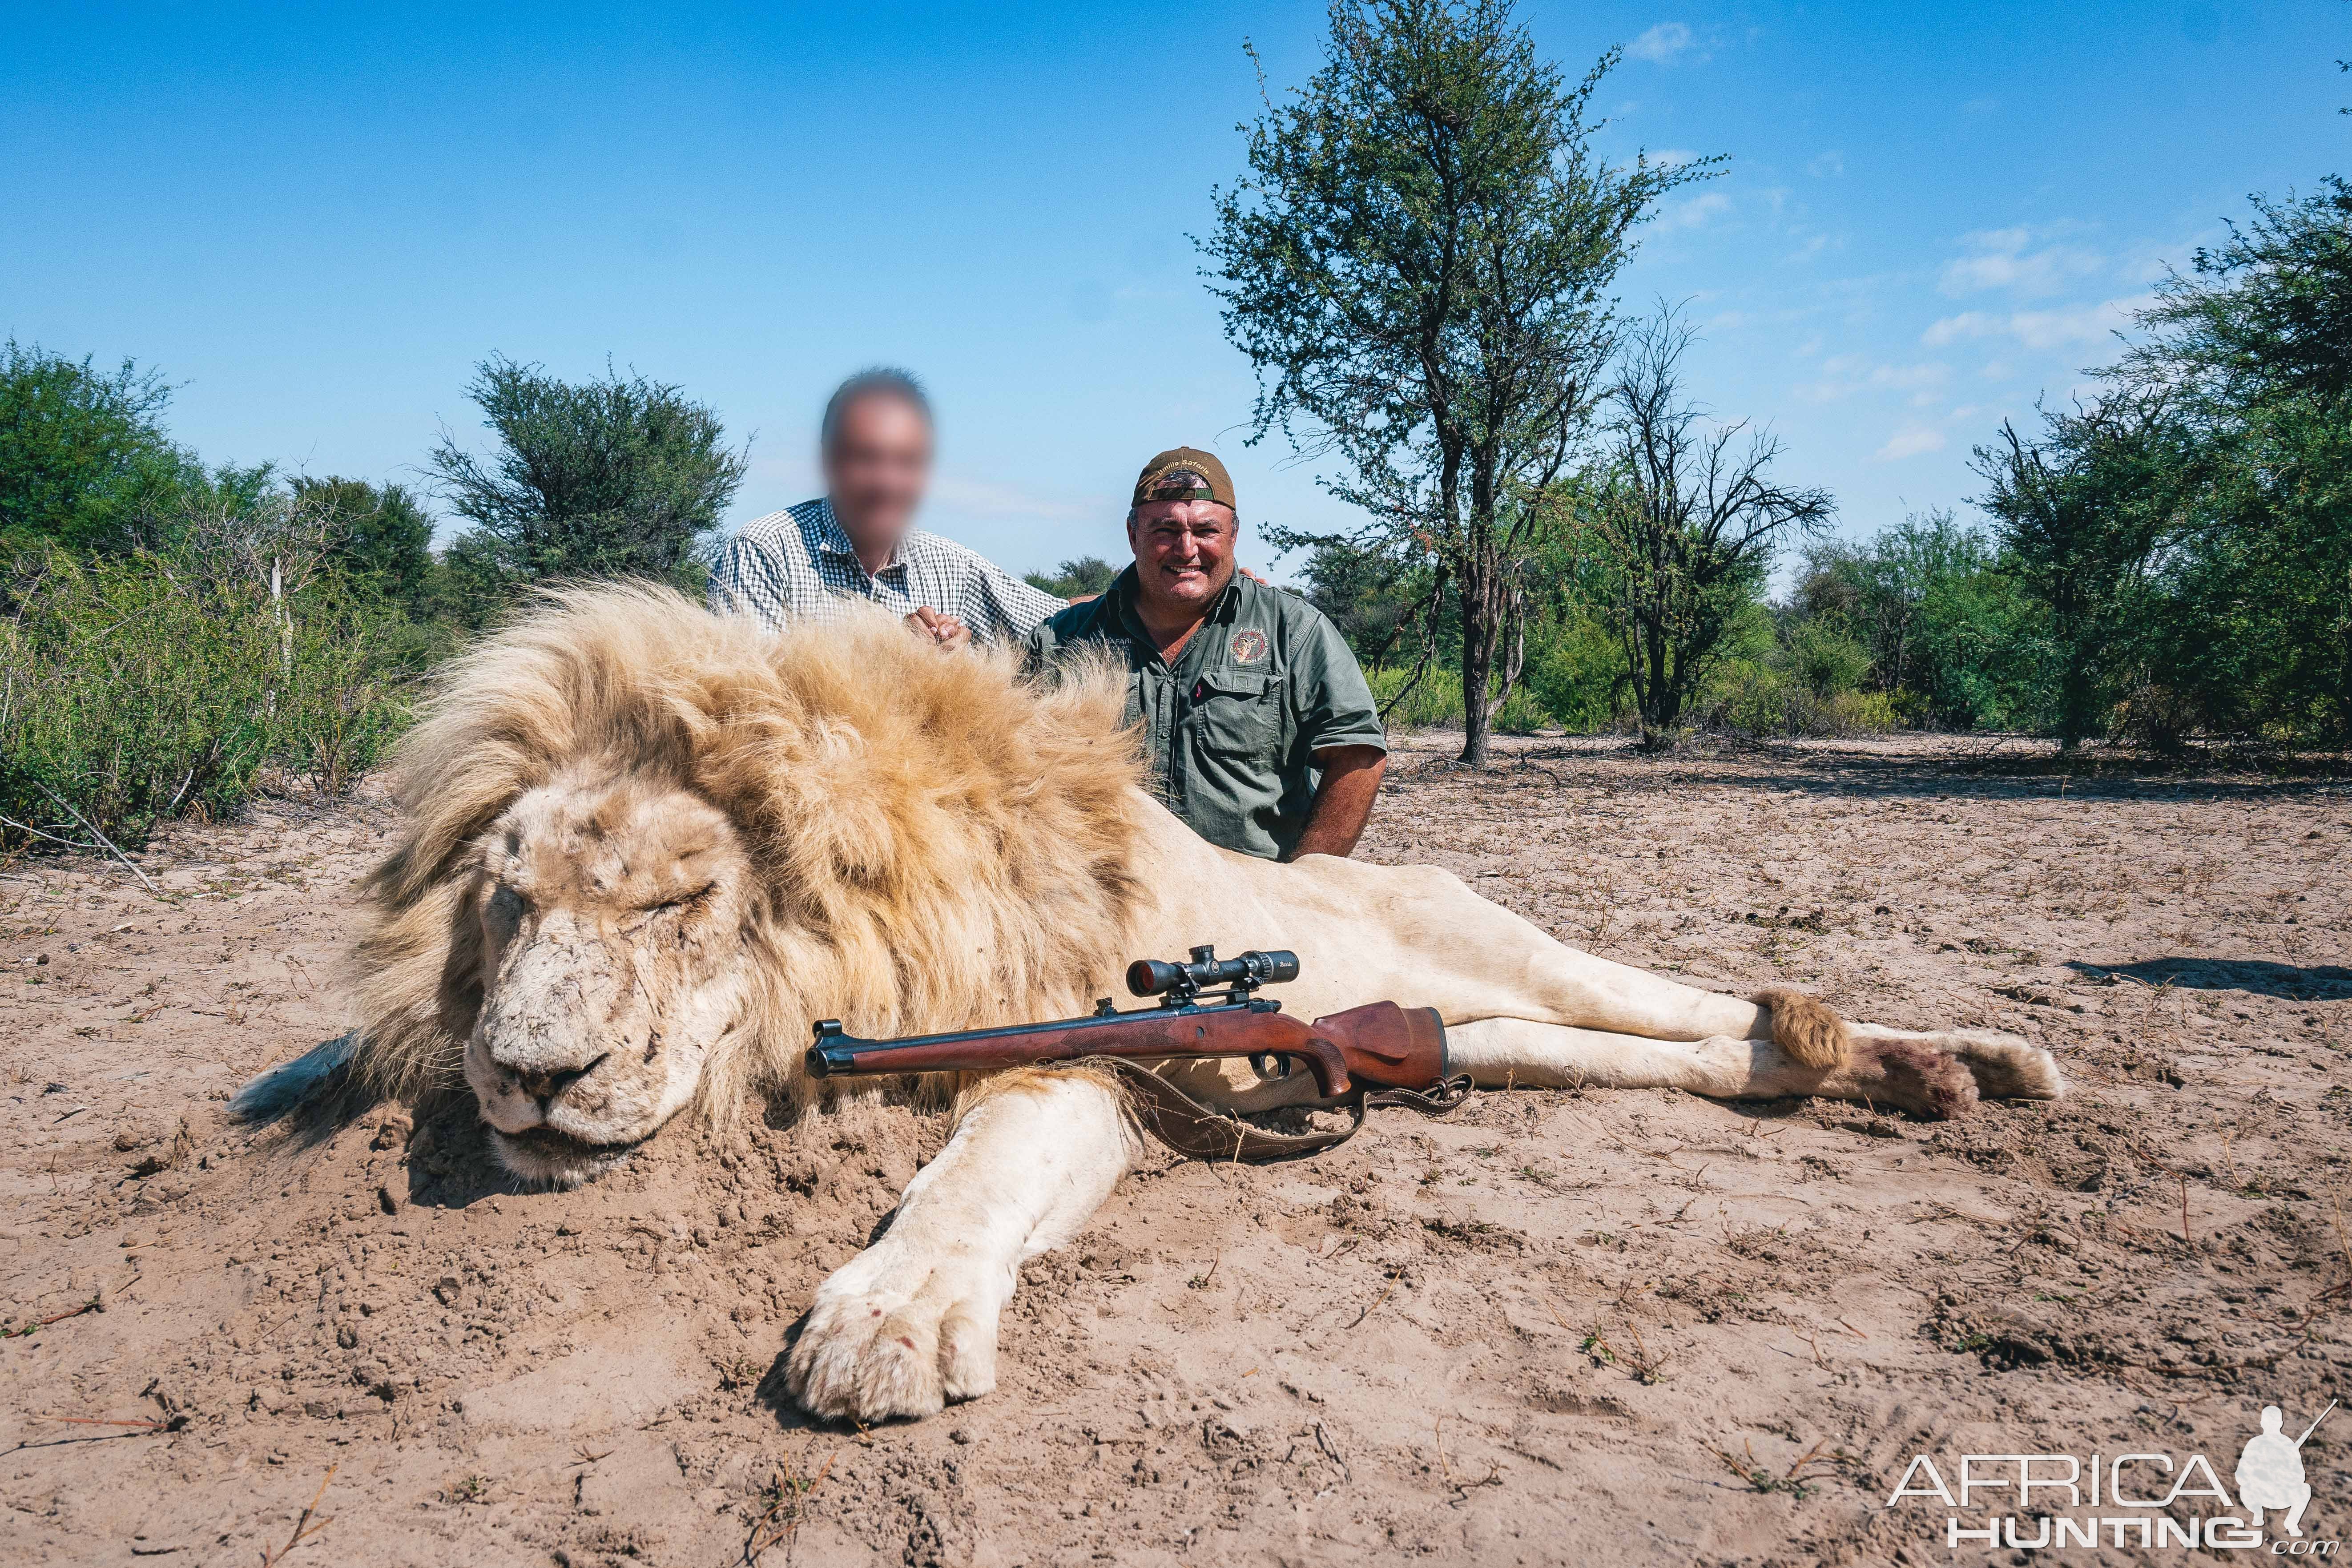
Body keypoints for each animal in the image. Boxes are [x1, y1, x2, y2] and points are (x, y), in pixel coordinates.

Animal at [243, 583, 2060, 1429]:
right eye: (510, 899)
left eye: (676, 905)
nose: (531, 1078)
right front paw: (301, 1080)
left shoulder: (1081, 1068)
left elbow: (960, 1185)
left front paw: (879, 1329)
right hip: (1491, 1038)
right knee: (1687, 1060)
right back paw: (1897, 1080)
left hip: (1496, 948)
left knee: (1693, 999)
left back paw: (1968, 1055)